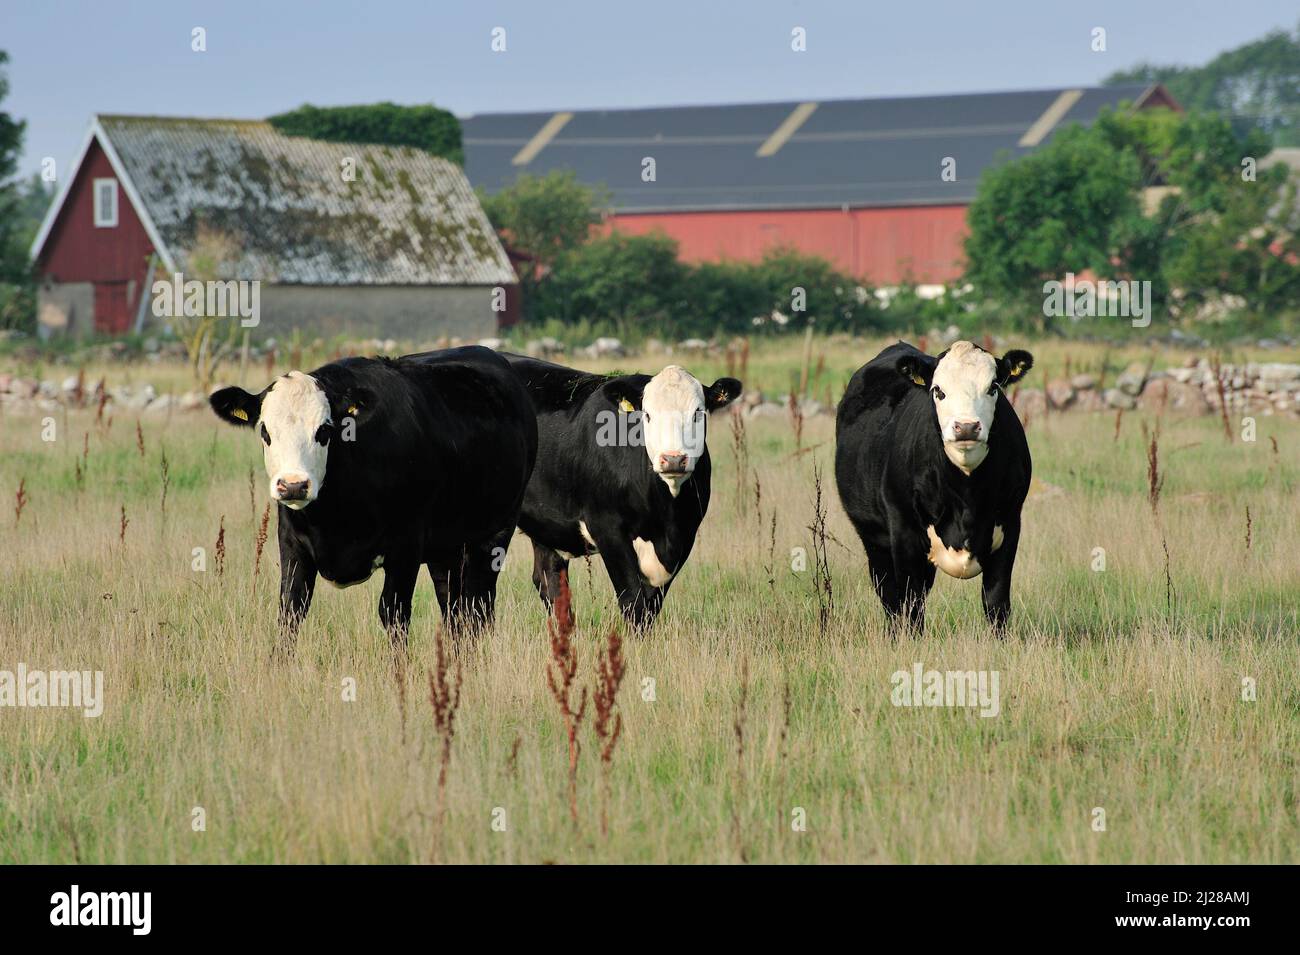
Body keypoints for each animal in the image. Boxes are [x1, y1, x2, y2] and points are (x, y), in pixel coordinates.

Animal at [209, 346, 538, 647]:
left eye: (324, 431)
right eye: (265, 431)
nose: (293, 485)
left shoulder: (406, 547)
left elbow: (394, 614)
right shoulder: (292, 544)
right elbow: (291, 611)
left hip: (494, 535)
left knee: (477, 609)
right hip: (447, 550)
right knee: (453, 609)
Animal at [504, 355, 742, 630]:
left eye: (697, 413)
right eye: (647, 415)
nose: (673, 459)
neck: (666, 515)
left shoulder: (686, 533)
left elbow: (652, 604)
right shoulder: (607, 529)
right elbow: (633, 600)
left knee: (549, 580)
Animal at [835, 340, 1033, 632]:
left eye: (993, 387)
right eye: (938, 390)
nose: (966, 427)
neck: (967, 499)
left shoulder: (1010, 523)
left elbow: (996, 603)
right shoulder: (904, 531)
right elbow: (910, 604)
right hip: (874, 538)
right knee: (890, 597)